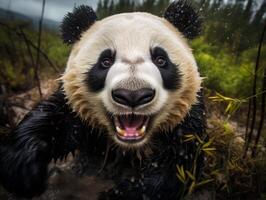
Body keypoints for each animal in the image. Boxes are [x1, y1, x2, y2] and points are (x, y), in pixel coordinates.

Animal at [0, 0, 206, 199]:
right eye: (105, 61)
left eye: (161, 59)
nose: (133, 95)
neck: (128, 146)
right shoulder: (74, 106)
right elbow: (50, 120)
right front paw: (25, 171)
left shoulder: (186, 121)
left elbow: (177, 167)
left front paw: (118, 193)